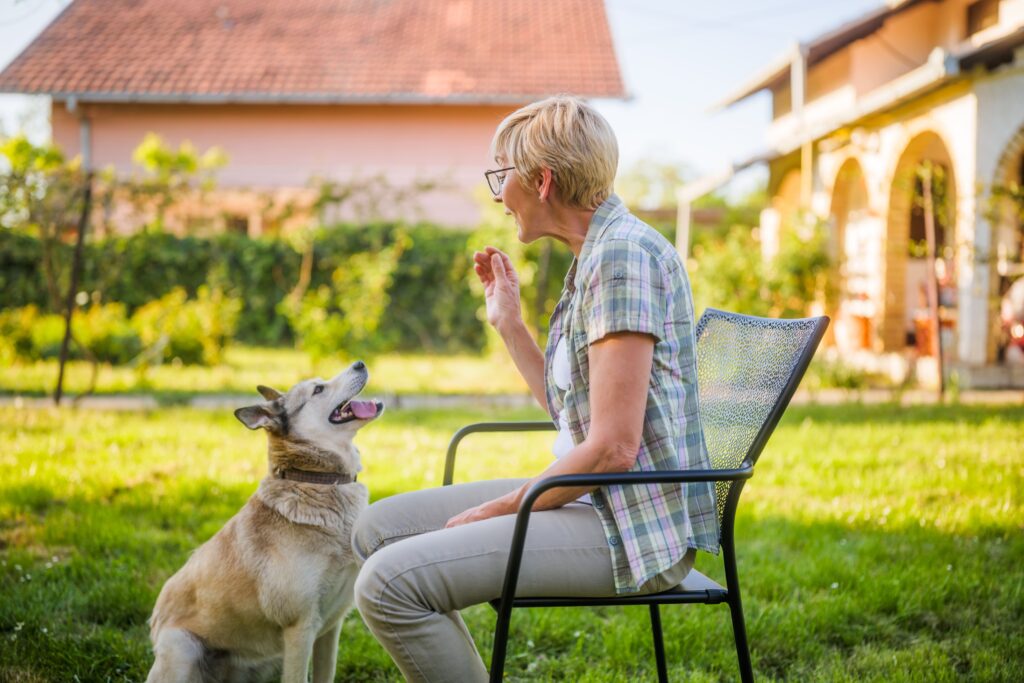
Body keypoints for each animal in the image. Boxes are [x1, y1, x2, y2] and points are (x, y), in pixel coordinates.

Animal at [146, 360, 382, 679]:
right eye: (318, 389)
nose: (360, 363)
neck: (315, 481)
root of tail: (154, 625)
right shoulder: (300, 628)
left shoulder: (331, 627)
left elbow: (325, 674)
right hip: (180, 649)